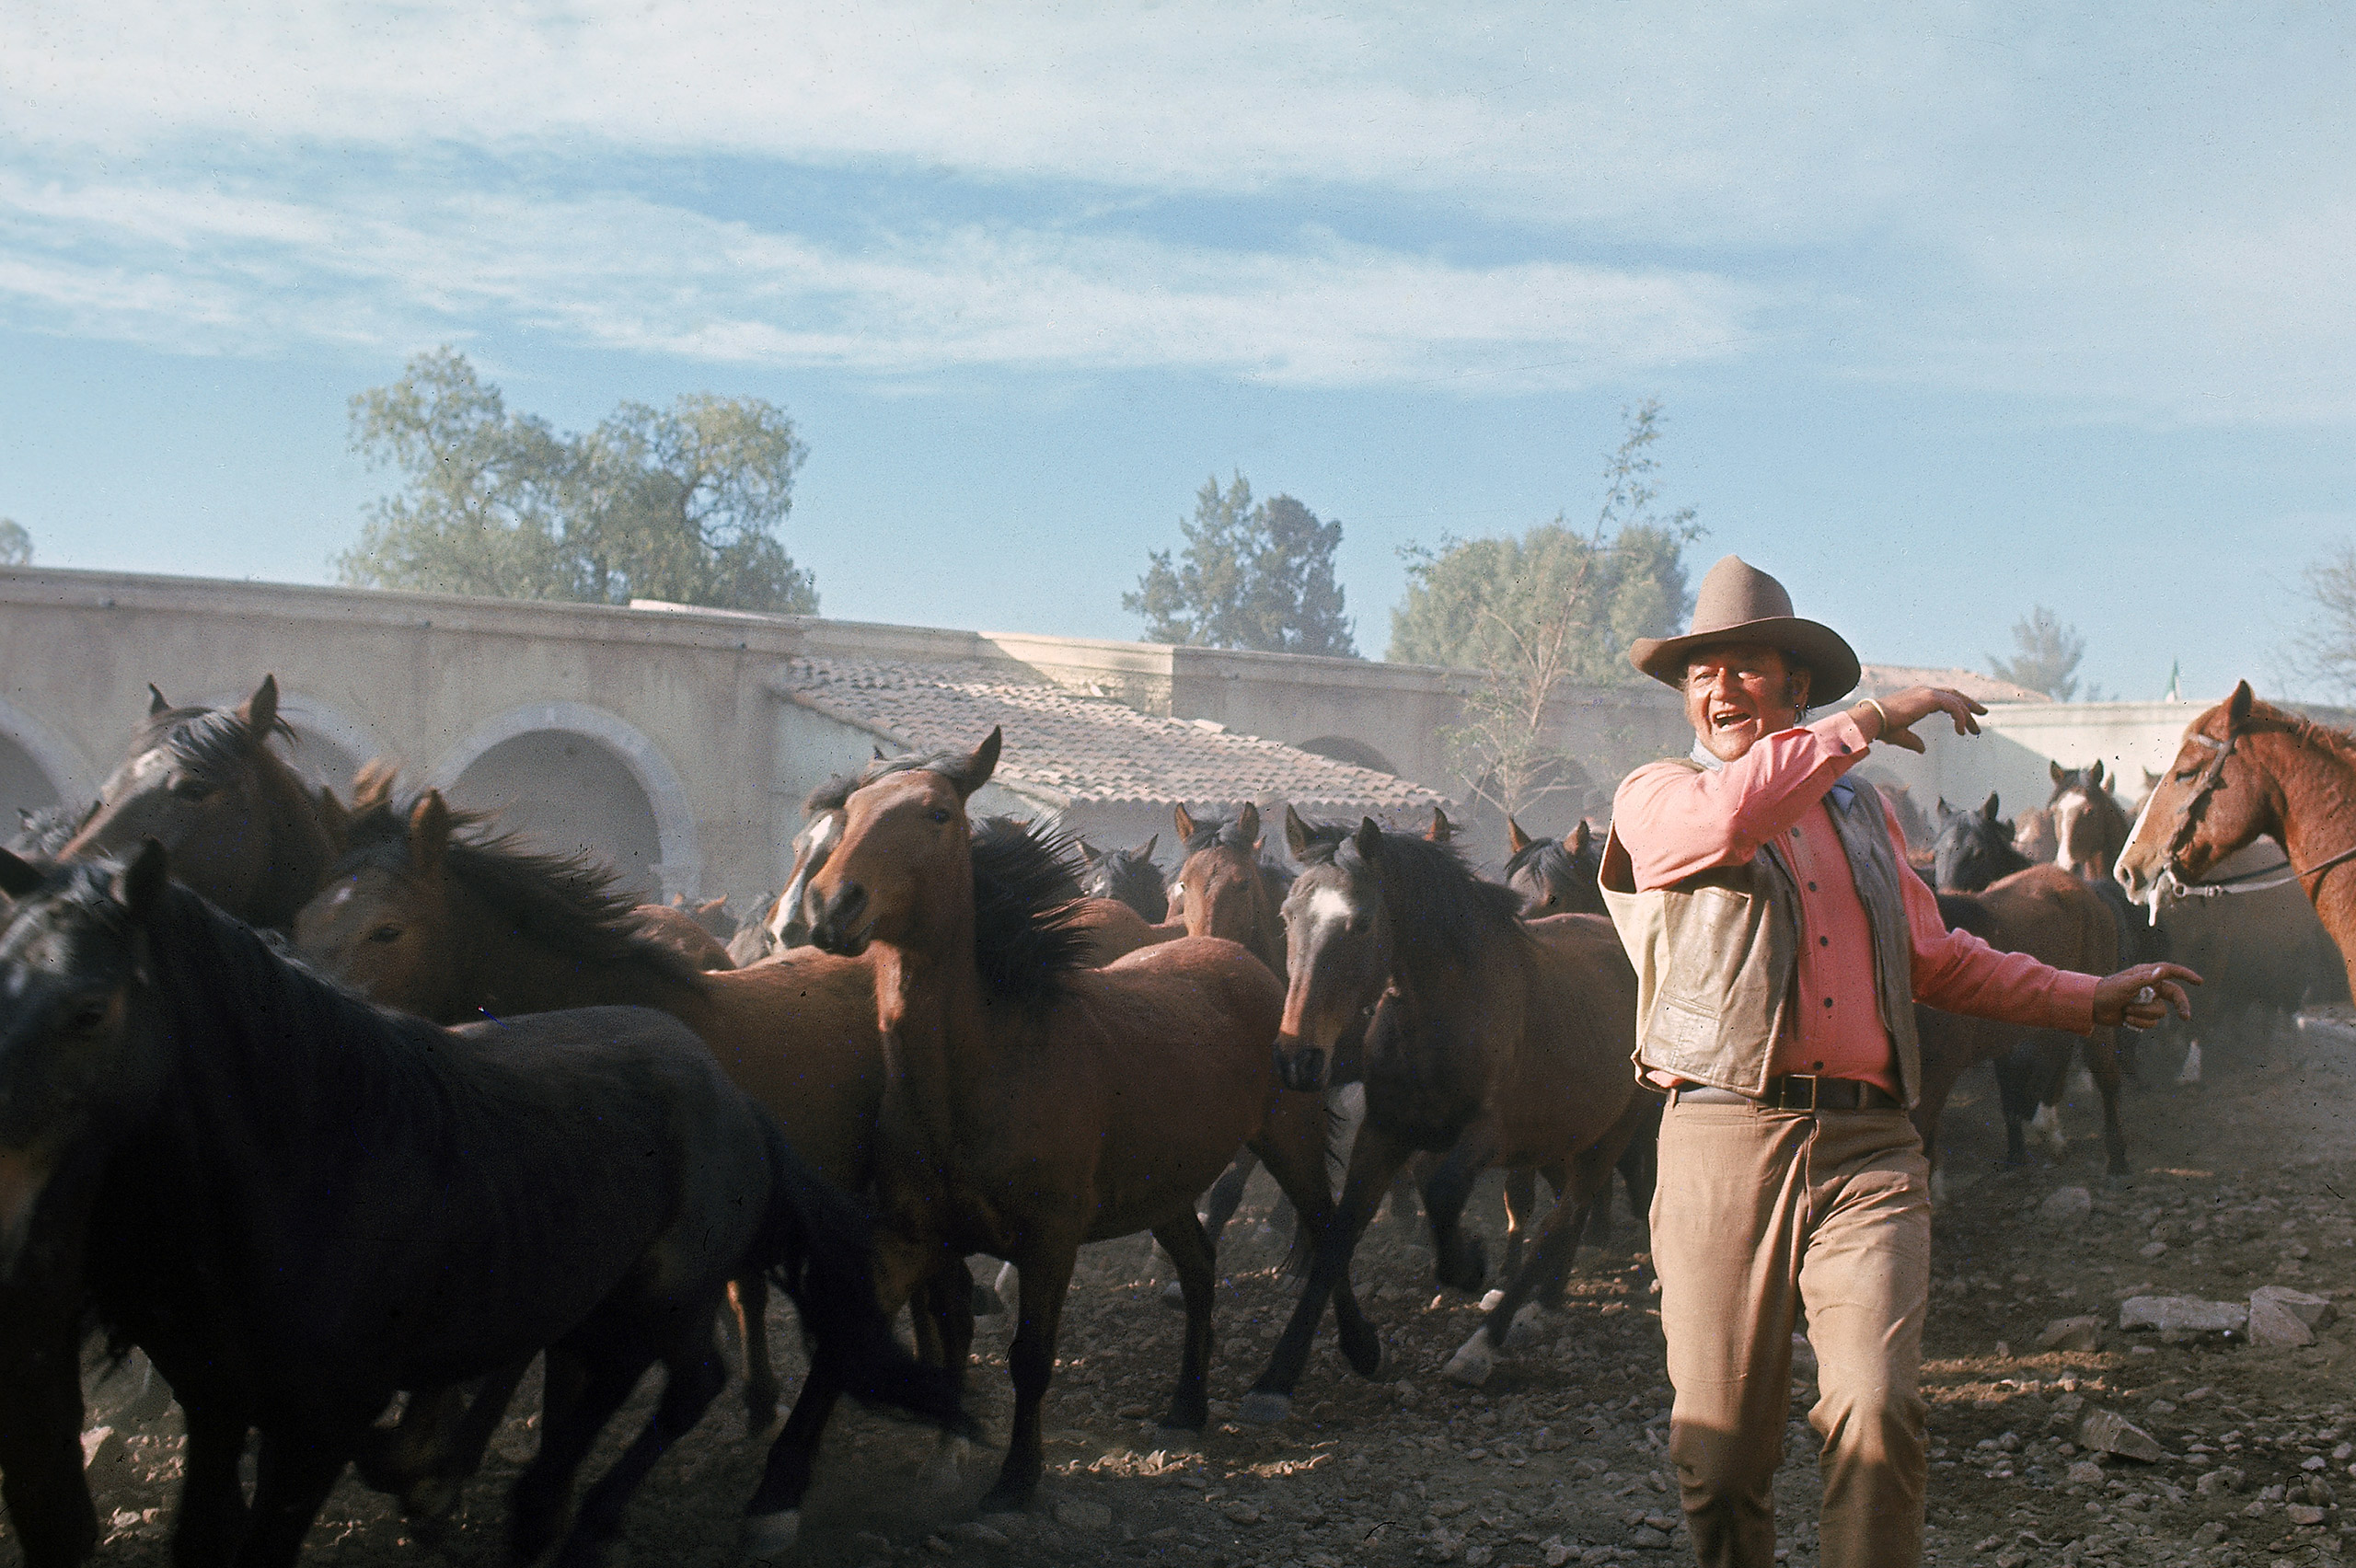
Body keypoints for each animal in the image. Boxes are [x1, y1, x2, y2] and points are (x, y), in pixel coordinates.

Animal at [801, 730, 1376, 1516]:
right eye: (850, 810)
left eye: (938, 814)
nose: (832, 905)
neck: (990, 1059)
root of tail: (1242, 960)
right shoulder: (924, 1234)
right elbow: (928, 1332)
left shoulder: (1050, 1240)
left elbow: (1030, 1357)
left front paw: (1016, 1481)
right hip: (1164, 1187)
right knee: (1200, 1267)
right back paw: (1186, 1407)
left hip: (1286, 1139)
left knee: (1324, 1229)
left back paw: (1344, 1356)